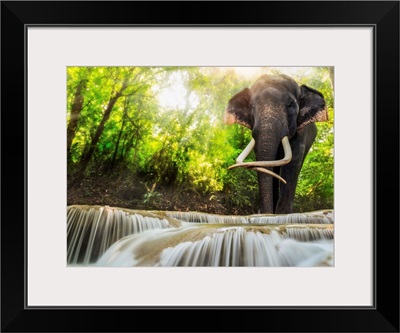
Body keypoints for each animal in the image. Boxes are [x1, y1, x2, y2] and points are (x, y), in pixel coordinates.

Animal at [225, 73, 328, 213]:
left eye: (290, 104)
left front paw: (282, 213)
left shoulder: (301, 130)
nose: (263, 213)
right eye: (252, 107)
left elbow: (293, 160)